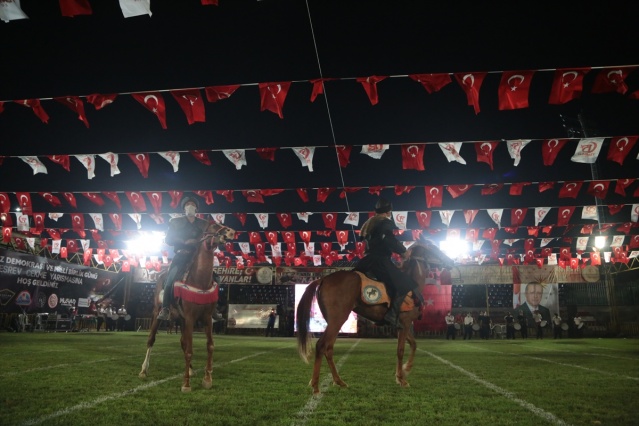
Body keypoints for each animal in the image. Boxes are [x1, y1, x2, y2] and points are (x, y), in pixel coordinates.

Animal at [139, 221, 235, 392]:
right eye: (212, 226)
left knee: (183, 343)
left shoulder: (206, 318)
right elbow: (190, 350)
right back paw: (144, 370)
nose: (230, 232)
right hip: (157, 313)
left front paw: (207, 379)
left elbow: (209, 346)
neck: (199, 280)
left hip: (181, 319)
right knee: (151, 340)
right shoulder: (190, 318)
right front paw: (186, 384)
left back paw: (190, 370)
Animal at [296, 242, 453, 394]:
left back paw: (339, 381)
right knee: (321, 345)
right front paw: (402, 379)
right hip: (337, 319)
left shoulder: (401, 325)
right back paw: (315, 386)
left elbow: (413, 344)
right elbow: (401, 350)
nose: (450, 261)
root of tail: (323, 279)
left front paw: (405, 369)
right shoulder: (406, 322)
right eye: (433, 249)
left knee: (329, 348)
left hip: (334, 322)